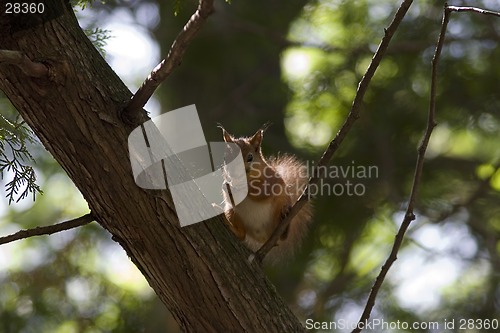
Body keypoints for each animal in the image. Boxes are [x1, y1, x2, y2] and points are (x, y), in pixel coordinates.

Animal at [220, 123, 310, 260]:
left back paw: (285, 213)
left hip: (280, 206)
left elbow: (261, 193)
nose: (234, 174)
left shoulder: (270, 182)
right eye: (226, 158)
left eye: (250, 157)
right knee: (242, 235)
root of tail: (263, 237)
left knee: (283, 236)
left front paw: (243, 187)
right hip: (231, 212)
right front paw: (227, 186)